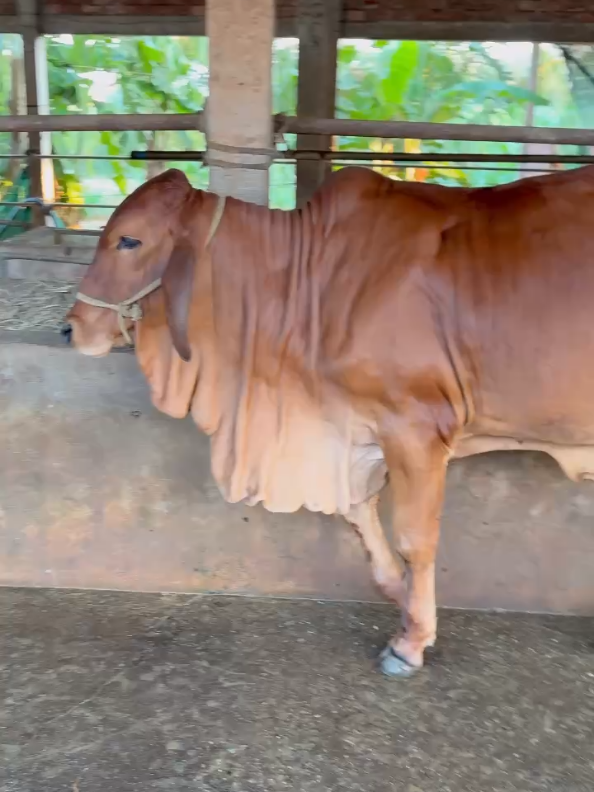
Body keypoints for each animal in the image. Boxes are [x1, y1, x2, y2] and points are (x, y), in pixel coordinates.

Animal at [65, 164, 594, 678]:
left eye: (128, 240)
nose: (71, 328)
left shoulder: (416, 425)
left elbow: (414, 540)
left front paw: (411, 642)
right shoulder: (352, 431)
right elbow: (361, 521)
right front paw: (407, 605)